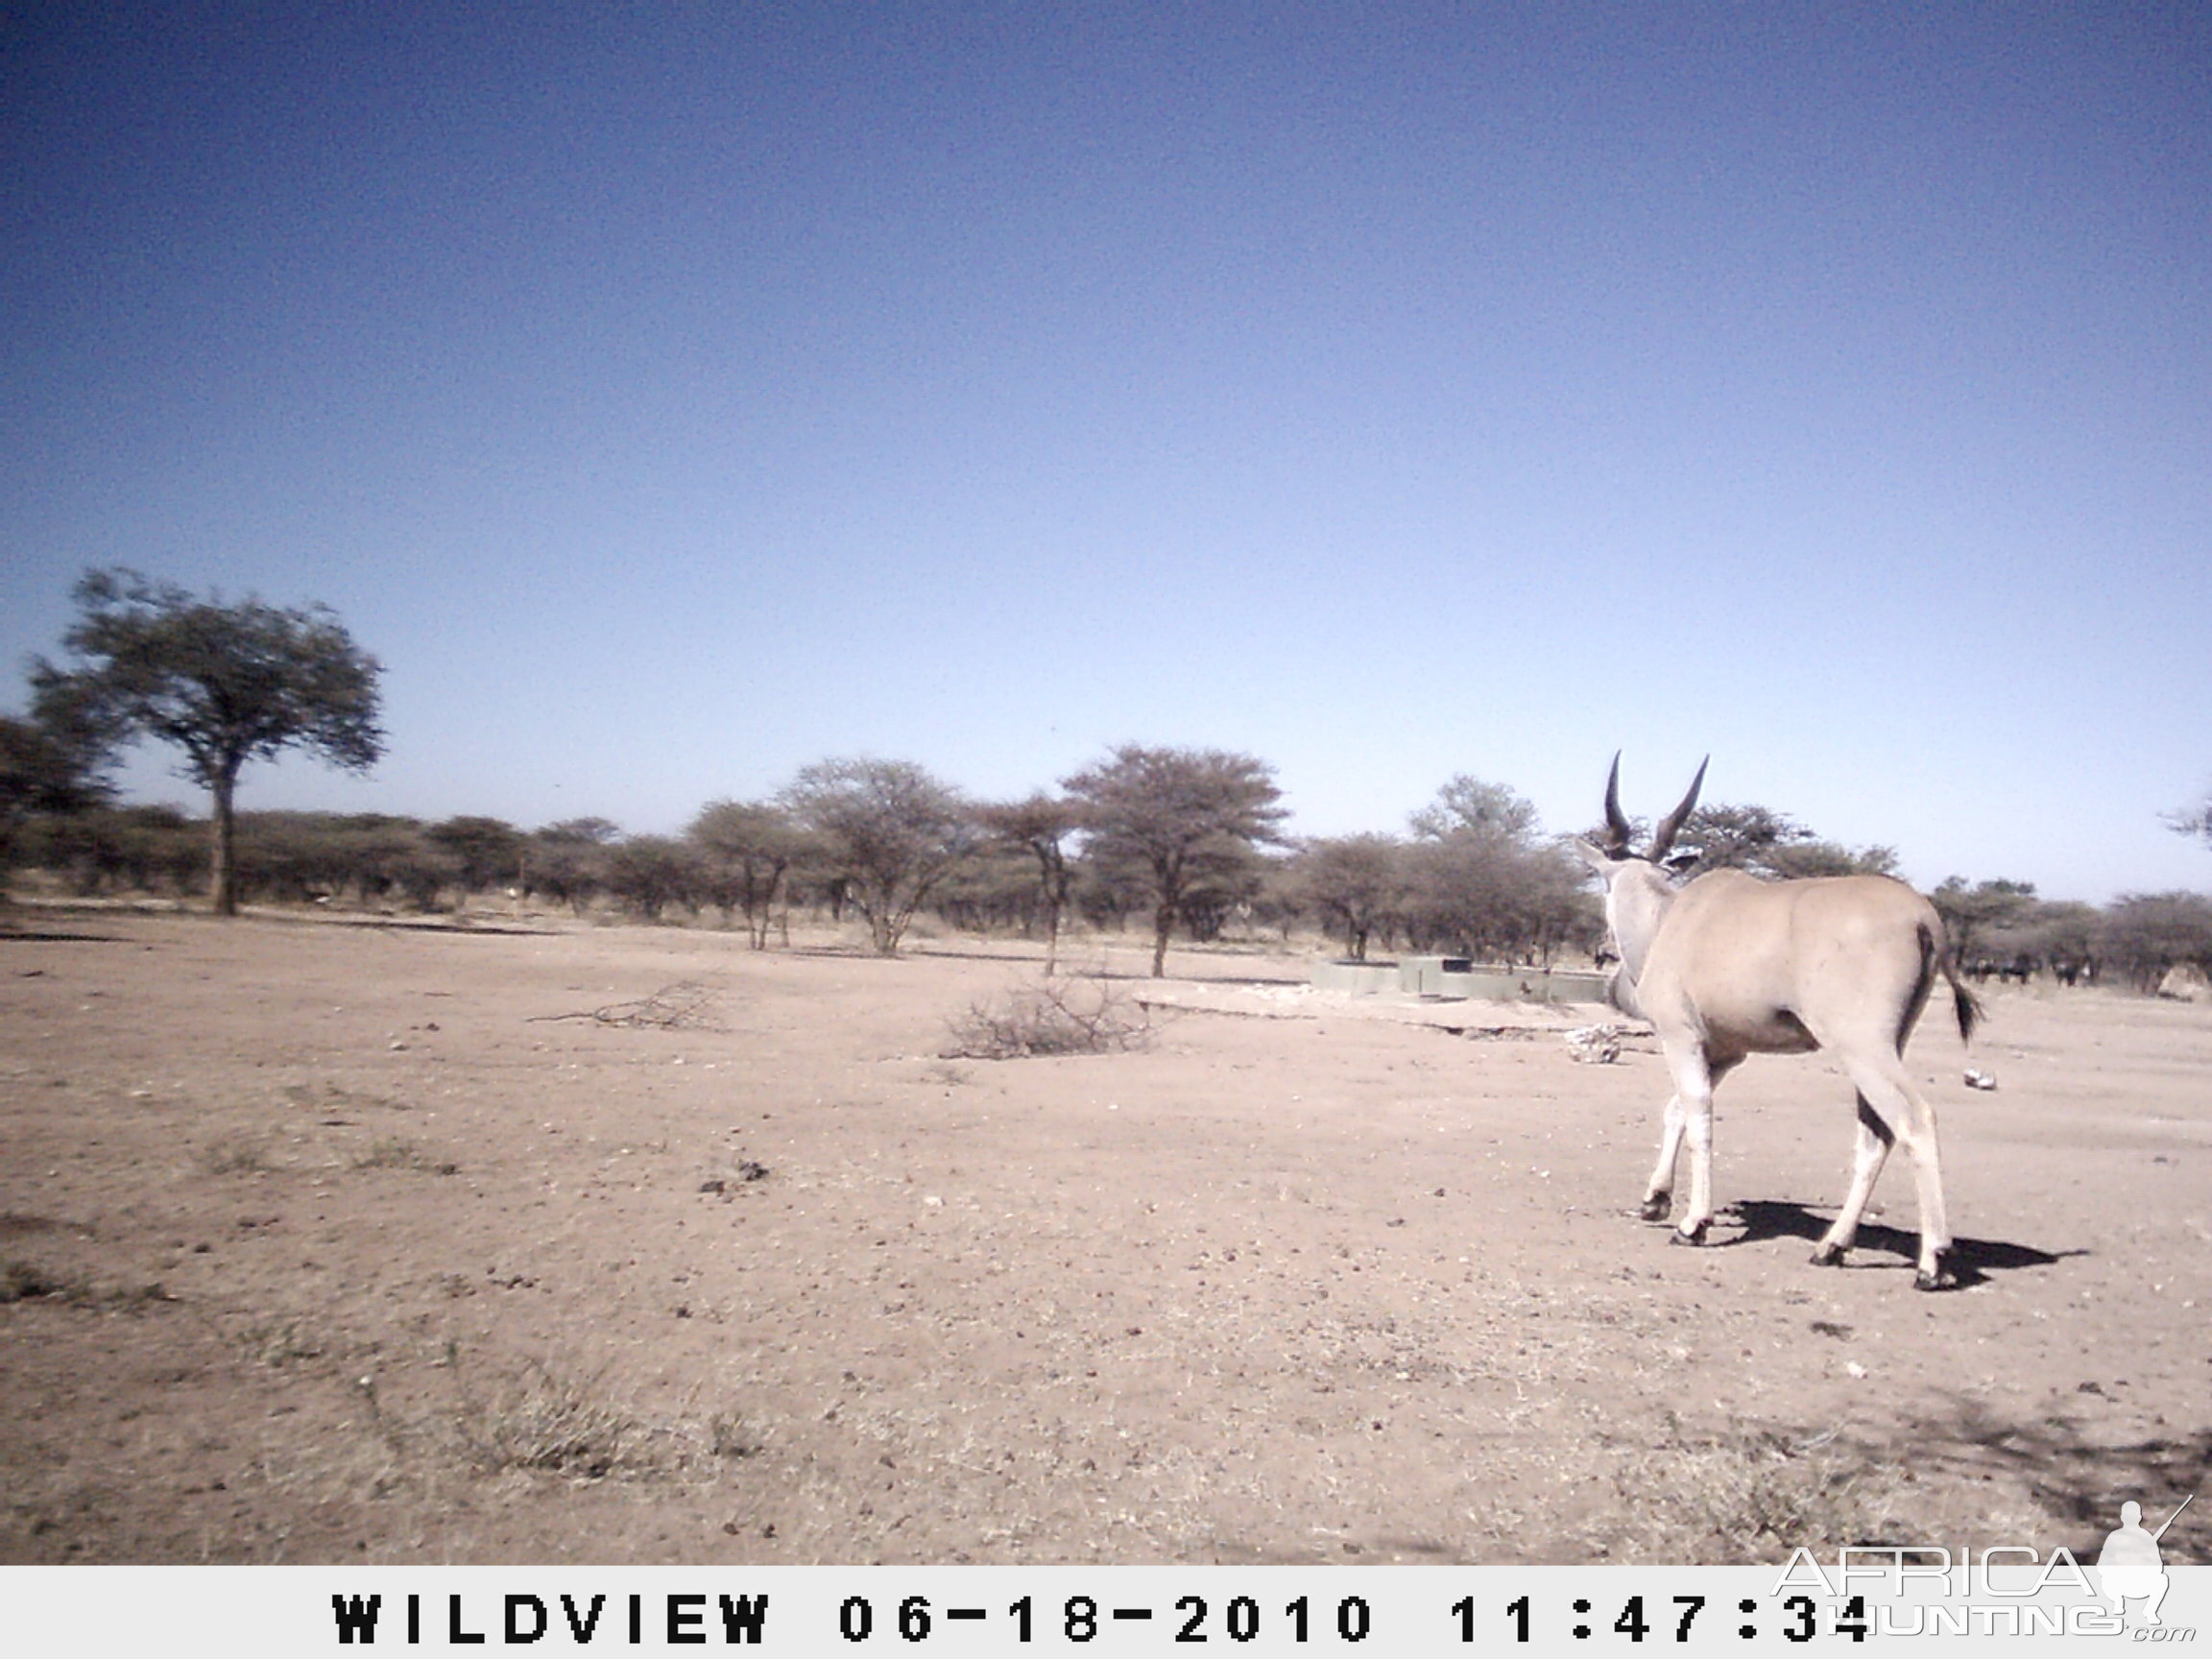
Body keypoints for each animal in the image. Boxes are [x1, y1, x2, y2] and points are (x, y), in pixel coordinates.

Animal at [1575, 760, 1990, 1291]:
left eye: (1602, 885)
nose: (1601, 949)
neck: (1670, 918)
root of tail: (1924, 918)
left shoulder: (1681, 1037)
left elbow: (1698, 1115)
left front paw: (1693, 1223)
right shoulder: (1726, 1053)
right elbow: (1676, 1111)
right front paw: (1655, 1200)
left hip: (1863, 1047)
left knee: (1915, 1121)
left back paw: (1933, 1262)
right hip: (1882, 1048)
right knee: (1877, 1134)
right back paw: (1832, 1246)